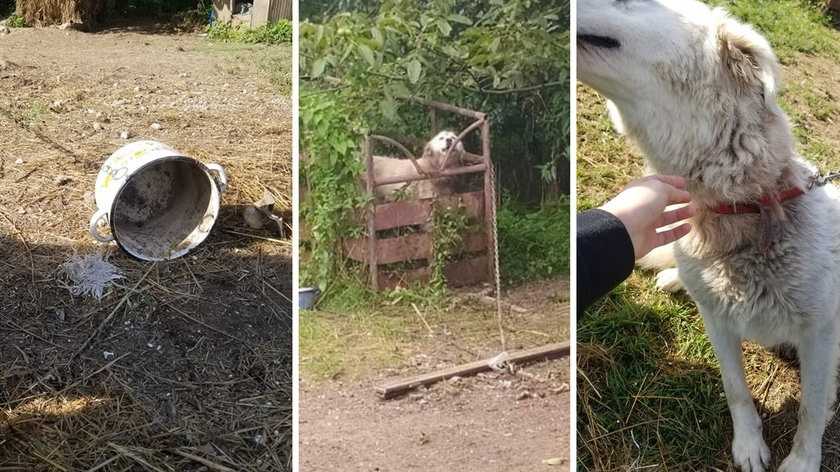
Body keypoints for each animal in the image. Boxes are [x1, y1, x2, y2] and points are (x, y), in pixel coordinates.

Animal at [580, 0, 840, 470]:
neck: (742, 210)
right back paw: (671, 277)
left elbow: (812, 408)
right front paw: (749, 445)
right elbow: (736, 389)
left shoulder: (821, 333)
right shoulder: (716, 320)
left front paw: (802, 461)